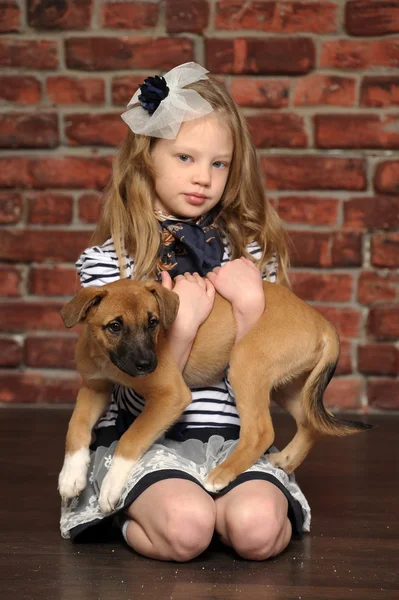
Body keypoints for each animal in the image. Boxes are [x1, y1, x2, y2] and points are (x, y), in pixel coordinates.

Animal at [58, 278, 372, 512]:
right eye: (114, 326)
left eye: (153, 322)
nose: (148, 364)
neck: (107, 359)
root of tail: (323, 322)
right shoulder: (94, 387)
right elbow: (75, 427)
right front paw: (71, 475)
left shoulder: (170, 394)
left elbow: (131, 437)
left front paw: (111, 485)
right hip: (287, 386)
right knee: (310, 423)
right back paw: (284, 460)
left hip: (246, 363)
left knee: (260, 432)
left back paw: (220, 476)